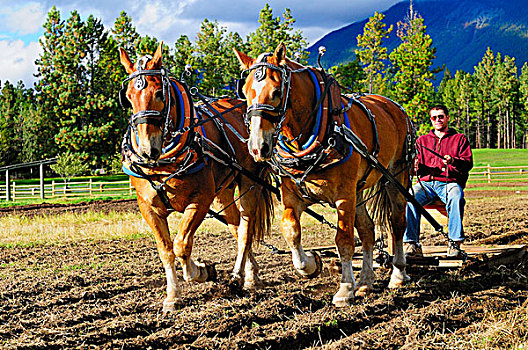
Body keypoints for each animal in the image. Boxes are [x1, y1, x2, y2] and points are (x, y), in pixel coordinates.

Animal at [119, 43, 272, 312]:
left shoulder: (200, 200)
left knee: (245, 229)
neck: (164, 162)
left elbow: (181, 244)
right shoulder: (148, 207)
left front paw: (201, 271)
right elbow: (166, 250)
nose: (147, 150)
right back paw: (248, 272)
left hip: (250, 183)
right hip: (223, 194)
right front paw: (172, 296)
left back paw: (247, 278)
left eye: (159, 93)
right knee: (236, 226)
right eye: (128, 96)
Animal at [236, 43, 416, 306]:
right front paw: (311, 264)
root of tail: (395, 108)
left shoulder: (343, 196)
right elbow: (291, 229)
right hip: (358, 191)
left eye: (277, 92)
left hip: (395, 176)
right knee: (368, 231)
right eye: (246, 93)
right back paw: (365, 281)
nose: (258, 147)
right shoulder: (293, 195)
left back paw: (398, 274)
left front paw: (345, 289)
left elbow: (344, 240)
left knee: (397, 223)